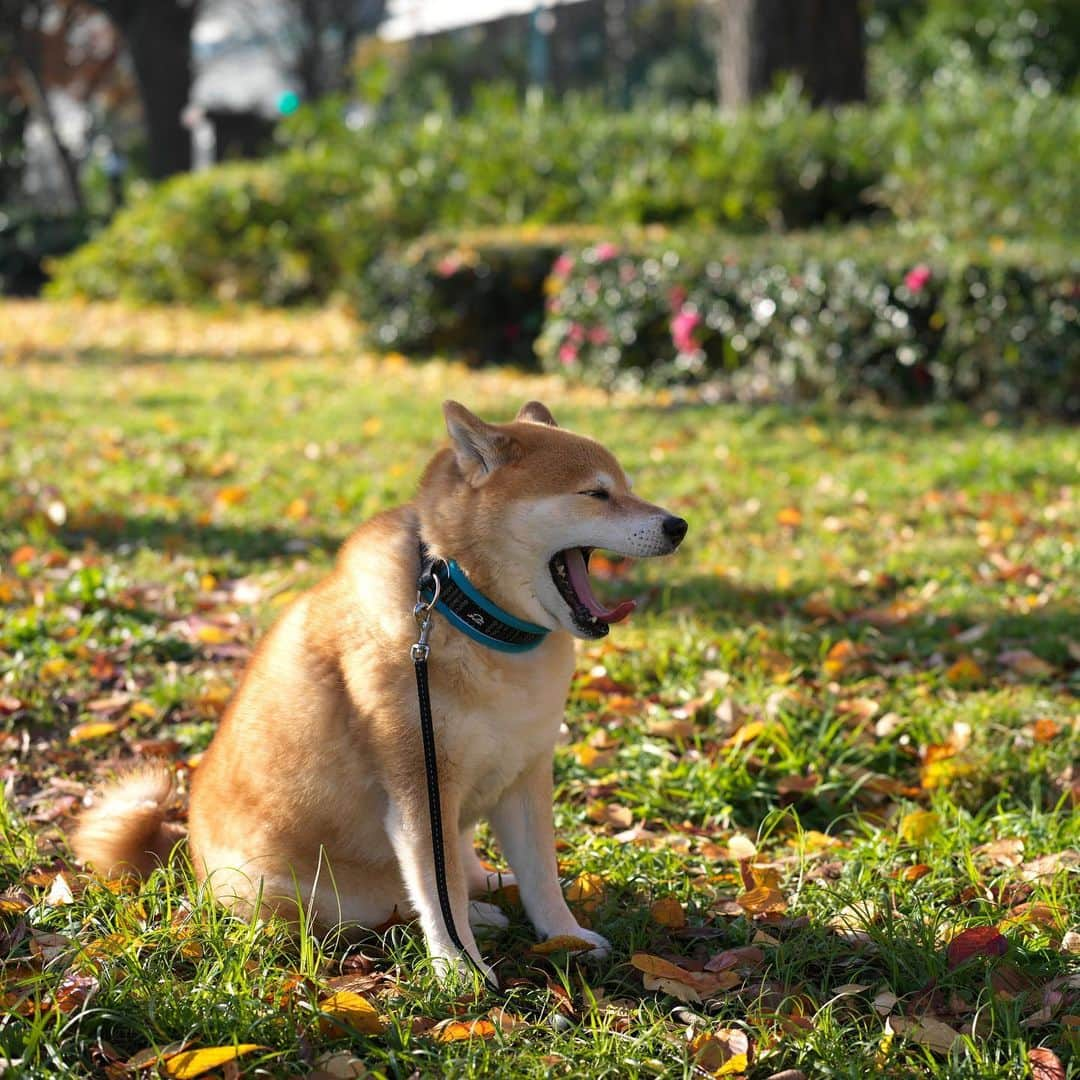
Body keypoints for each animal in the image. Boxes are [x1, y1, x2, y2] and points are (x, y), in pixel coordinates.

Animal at [76, 401, 686, 984]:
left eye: (627, 487)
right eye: (595, 494)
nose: (678, 525)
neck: (468, 615)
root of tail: (186, 861)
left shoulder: (525, 776)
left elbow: (542, 880)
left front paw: (567, 938)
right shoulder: (422, 789)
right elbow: (439, 896)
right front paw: (461, 968)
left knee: (462, 875)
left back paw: (491, 885)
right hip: (306, 893)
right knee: (392, 910)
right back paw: (478, 917)